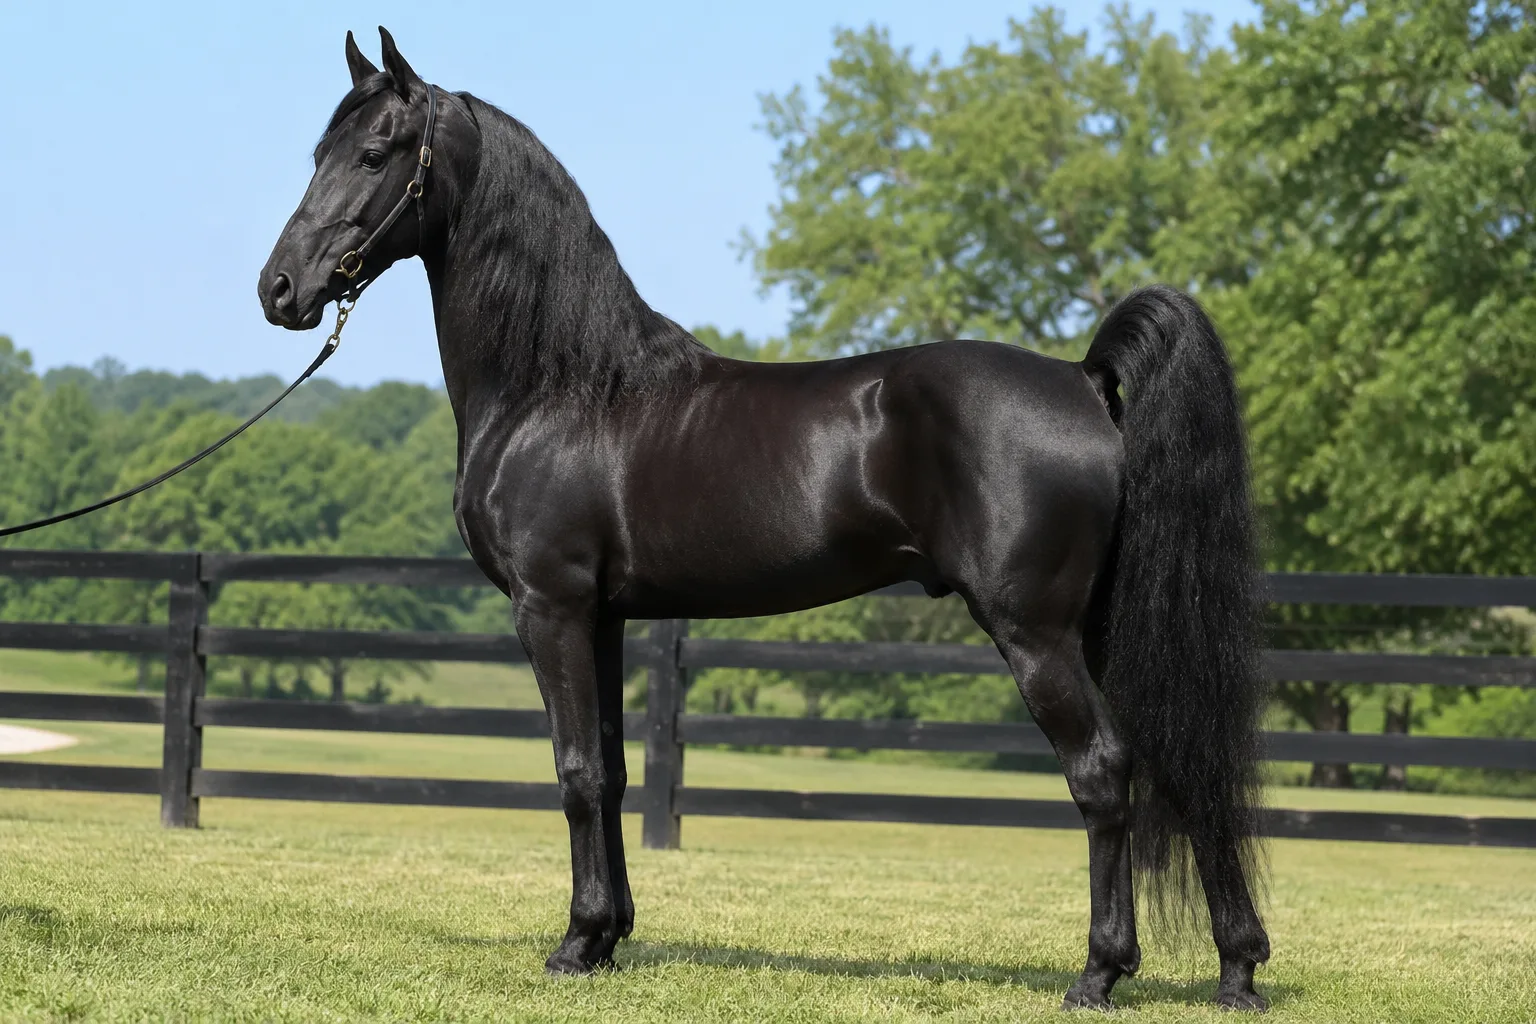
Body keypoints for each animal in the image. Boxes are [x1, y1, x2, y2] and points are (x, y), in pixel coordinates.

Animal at [258, 28, 1271, 1011]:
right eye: (319, 153)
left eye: (375, 153)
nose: (278, 290)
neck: (562, 387)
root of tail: (1083, 378)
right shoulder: (605, 617)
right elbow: (613, 771)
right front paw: (612, 936)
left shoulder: (550, 607)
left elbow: (576, 773)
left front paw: (576, 945)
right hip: (1106, 625)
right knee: (1182, 761)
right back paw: (1238, 969)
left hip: (1036, 632)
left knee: (1102, 772)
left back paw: (1101, 971)